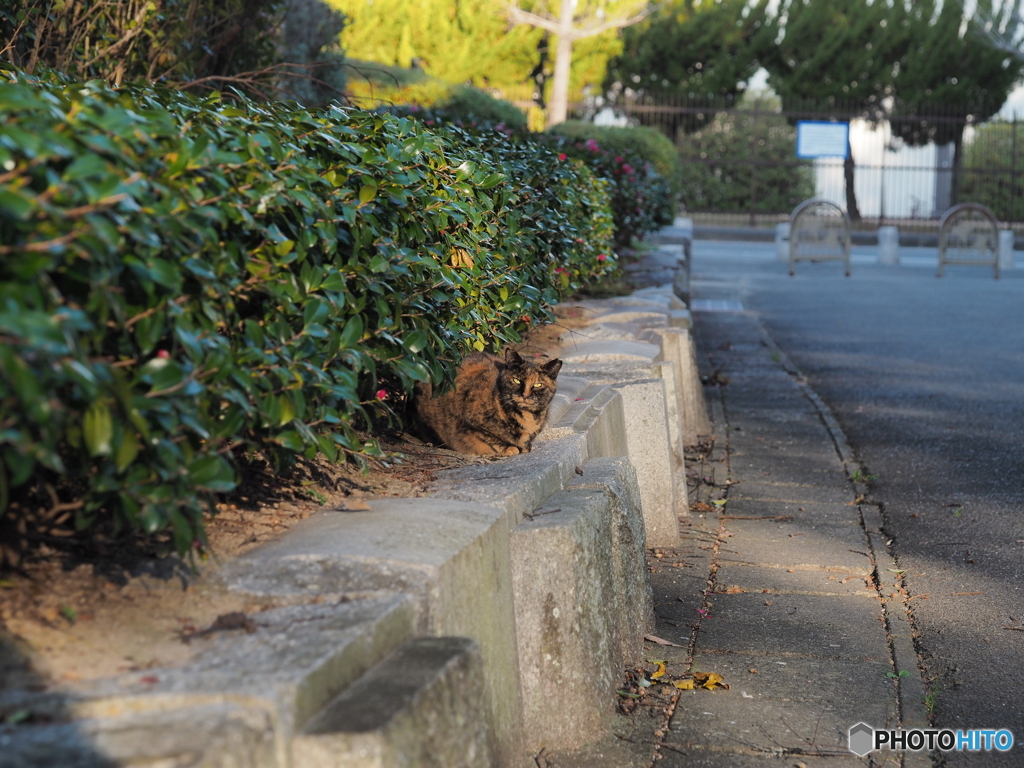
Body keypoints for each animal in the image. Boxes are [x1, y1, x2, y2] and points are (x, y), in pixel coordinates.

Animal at [411, 350, 565, 456]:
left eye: (538, 385)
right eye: (516, 380)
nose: (525, 395)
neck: (527, 417)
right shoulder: (469, 421)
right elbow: (490, 437)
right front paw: (509, 447)